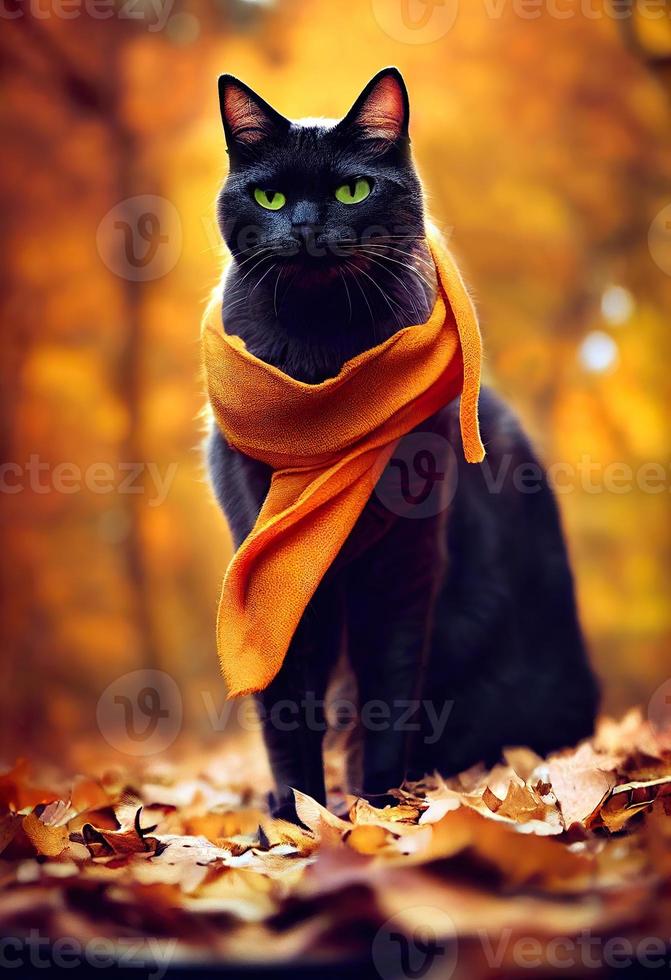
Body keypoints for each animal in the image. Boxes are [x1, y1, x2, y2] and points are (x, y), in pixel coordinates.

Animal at [206, 69, 600, 816]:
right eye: (270, 196)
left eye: (352, 191)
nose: (306, 227)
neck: (321, 353)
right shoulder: (261, 549)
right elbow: (286, 702)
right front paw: (297, 818)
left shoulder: (404, 560)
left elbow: (387, 693)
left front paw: (379, 813)